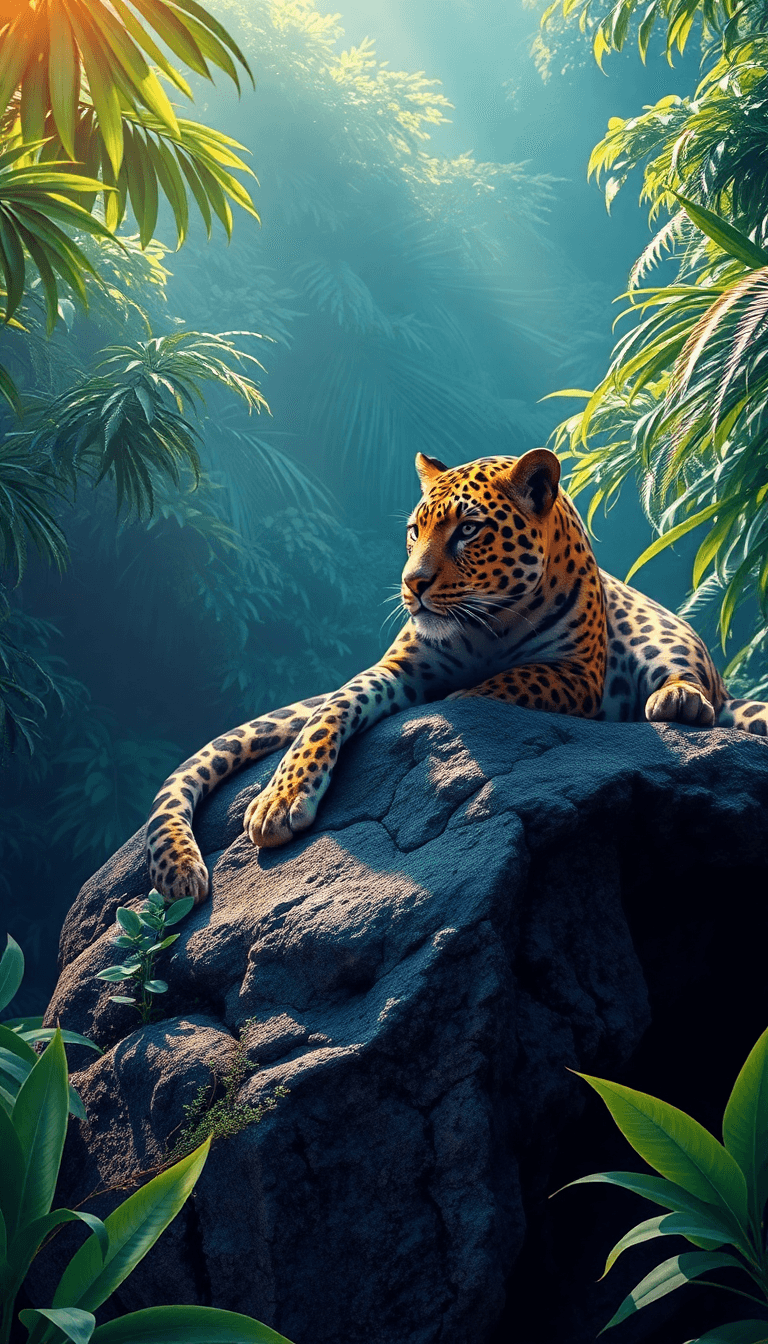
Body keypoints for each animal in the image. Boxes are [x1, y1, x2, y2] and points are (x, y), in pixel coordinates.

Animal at [146, 448, 768, 904]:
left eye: (468, 530)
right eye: (413, 531)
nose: (411, 583)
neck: (484, 625)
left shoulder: (576, 673)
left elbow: (499, 685)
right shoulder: (399, 668)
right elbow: (330, 711)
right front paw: (281, 798)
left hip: (662, 632)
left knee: (692, 688)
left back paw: (679, 700)